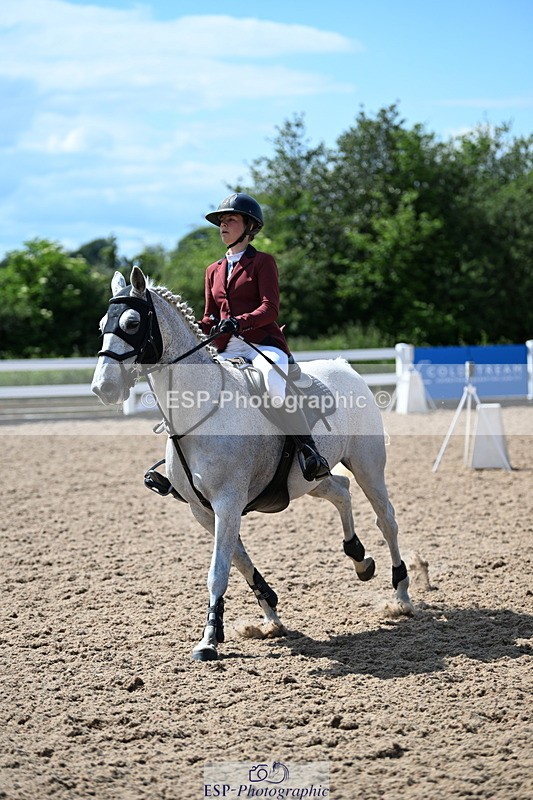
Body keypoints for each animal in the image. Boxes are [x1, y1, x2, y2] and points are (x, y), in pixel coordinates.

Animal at [91, 266, 413, 661]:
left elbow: (219, 569)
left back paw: (401, 595)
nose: (103, 388)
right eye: (103, 324)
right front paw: (269, 614)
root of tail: (344, 367)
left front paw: (209, 640)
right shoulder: (203, 510)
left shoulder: (227, 502)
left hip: (368, 465)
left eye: (133, 322)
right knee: (340, 490)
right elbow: (239, 560)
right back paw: (359, 559)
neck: (200, 412)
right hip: (308, 481)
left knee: (386, 520)